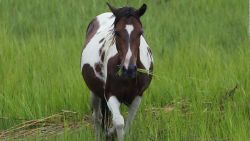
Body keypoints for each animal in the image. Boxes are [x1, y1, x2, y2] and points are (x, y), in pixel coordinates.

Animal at [81, 2, 153, 140]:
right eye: (117, 32)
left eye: (140, 32)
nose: (129, 69)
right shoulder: (110, 94)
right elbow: (119, 122)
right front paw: (111, 133)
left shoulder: (138, 95)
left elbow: (127, 122)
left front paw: (111, 133)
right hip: (94, 92)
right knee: (97, 117)